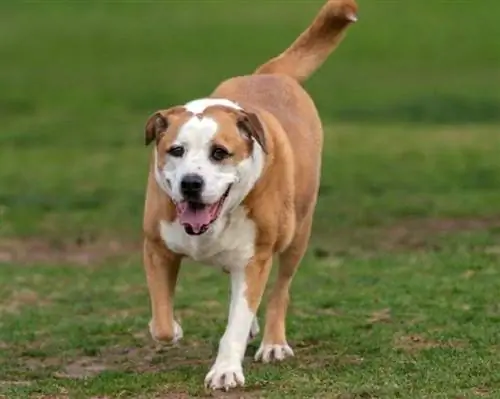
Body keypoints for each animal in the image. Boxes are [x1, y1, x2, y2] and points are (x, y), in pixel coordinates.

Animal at [143, 0, 358, 392]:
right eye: (176, 150)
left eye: (219, 153)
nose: (191, 183)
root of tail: (271, 73)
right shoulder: (156, 246)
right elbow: (162, 325)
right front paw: (173, 329)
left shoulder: (255, 257)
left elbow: (238, 321)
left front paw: (226, 370)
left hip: (296, 235)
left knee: (280, 290)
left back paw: (273, 342)